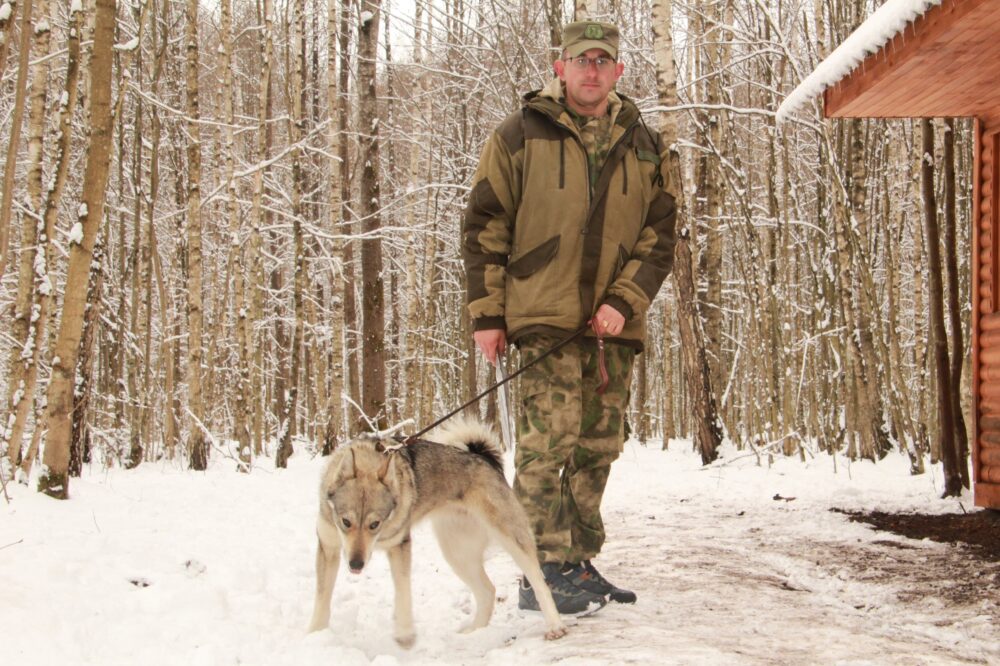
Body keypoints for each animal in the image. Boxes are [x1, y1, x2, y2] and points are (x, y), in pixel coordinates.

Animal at [304, 416, 572, 644]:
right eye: (345, 522)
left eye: (374, 524)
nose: (356, 564)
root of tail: (484, 458)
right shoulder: (328, 548)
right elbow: (321, 598)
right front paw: (315, 635)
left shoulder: (400, 547)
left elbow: (403, 594)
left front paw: (404, 634)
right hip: (458, 554)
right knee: (487, 591)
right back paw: (474, 632)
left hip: (510, 538)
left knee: (539, 582)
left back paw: (555, 626)